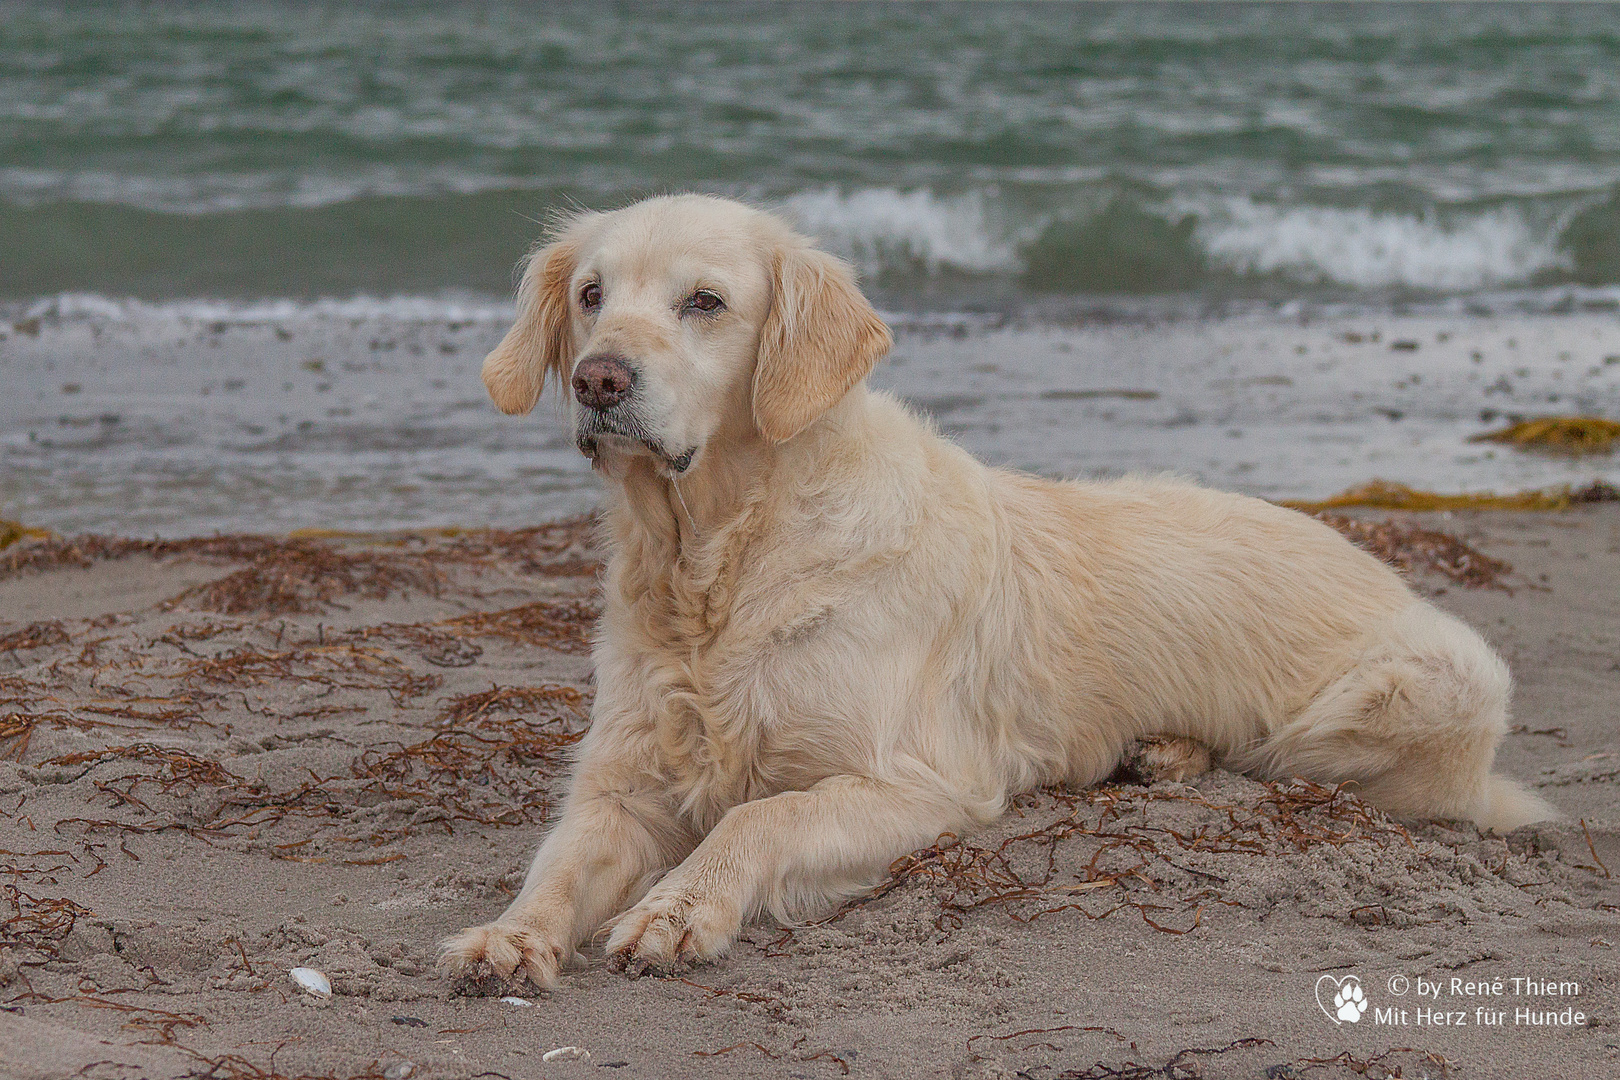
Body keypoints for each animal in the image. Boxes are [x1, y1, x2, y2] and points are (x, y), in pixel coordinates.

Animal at [437, 194, 1548, 990]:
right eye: (591, 295)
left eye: (703, 302)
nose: (601, 381)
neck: (719, 559)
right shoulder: (621, 779)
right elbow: (558, 860)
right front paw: (509, 936)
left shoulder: (921, 781)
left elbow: (760, 820)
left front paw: (677, 909)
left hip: (1414, 688)